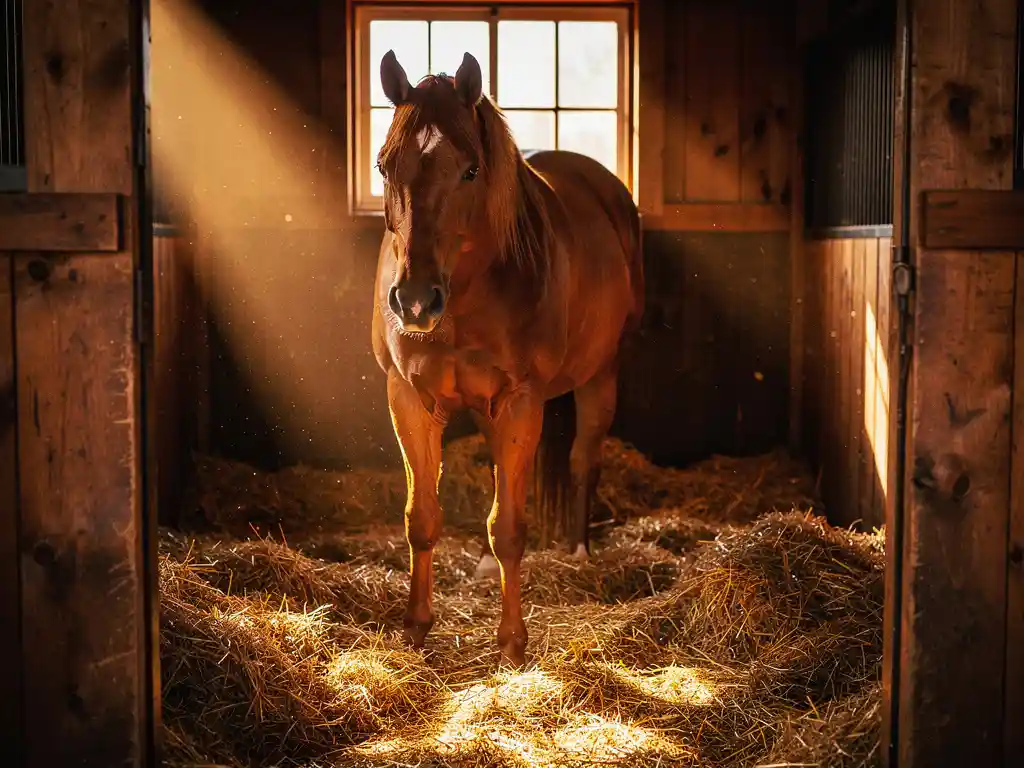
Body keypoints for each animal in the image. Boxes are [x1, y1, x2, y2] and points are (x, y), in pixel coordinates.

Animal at [371, 49, 644, 667]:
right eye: (383, 166)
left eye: (470, 170)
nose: (415, 301)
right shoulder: (407, 398)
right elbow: (422, 517)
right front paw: (415, 628)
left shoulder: (521, 400)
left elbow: (512, 527)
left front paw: (512, 645)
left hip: (603, 375)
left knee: (583, 460)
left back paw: (578, 552)